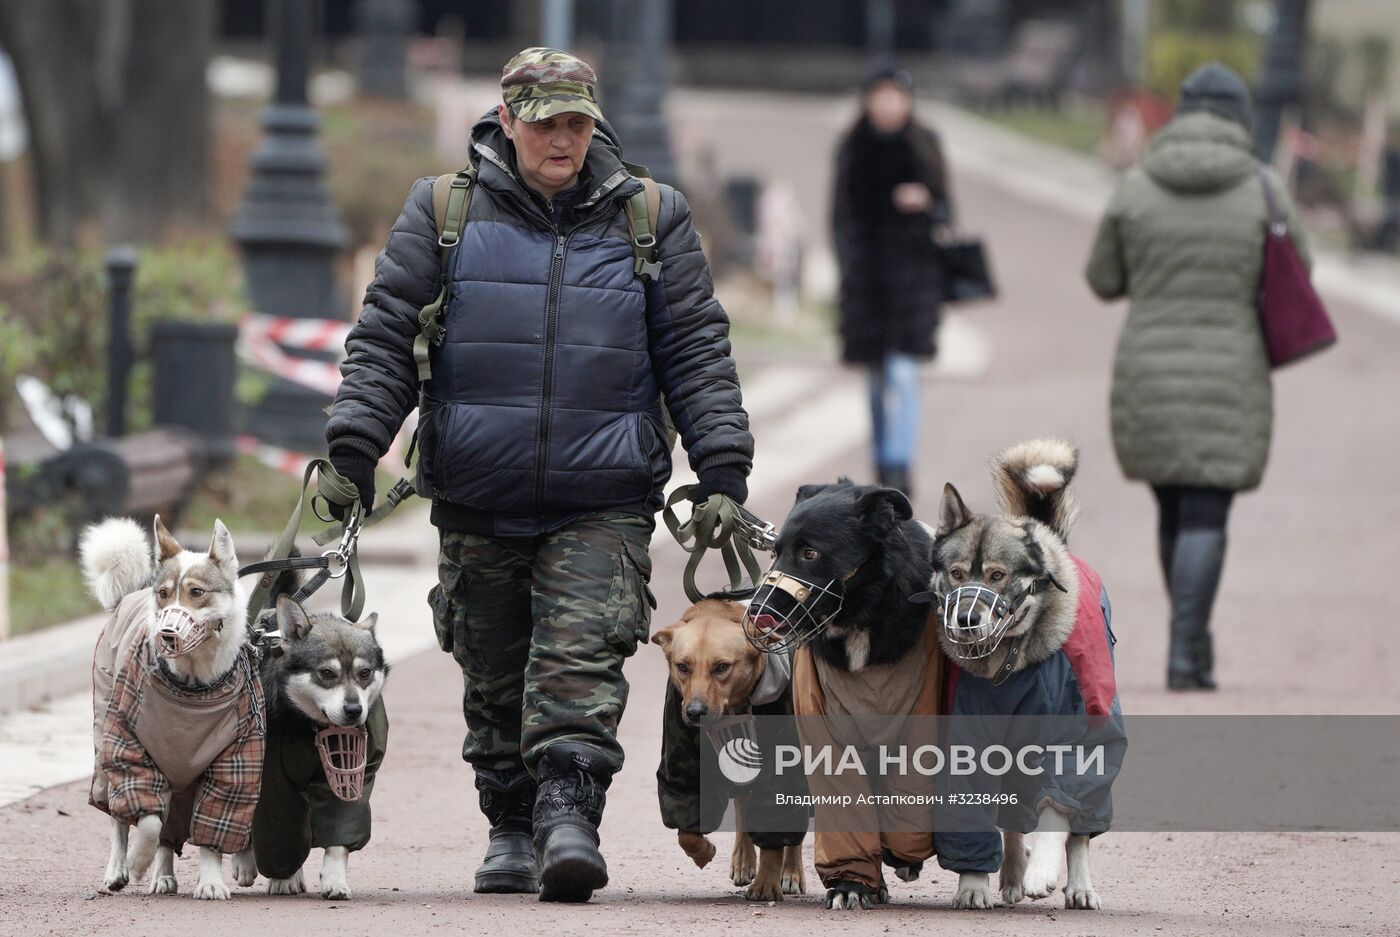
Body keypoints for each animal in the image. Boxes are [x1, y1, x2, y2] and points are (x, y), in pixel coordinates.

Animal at [655, 599, 812, 896]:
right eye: (682, 666)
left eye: (721, 667)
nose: (695, 712)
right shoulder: (684, 765)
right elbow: (687, 829)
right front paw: (703, 851)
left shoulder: (784, 768)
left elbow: (776, 826)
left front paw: (767, 881)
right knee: (742, 805)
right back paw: (743, 858)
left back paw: (791, 872)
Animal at [929, 442, 1125, 907]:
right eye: (957, 574)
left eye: (998, 575)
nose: (966, 620)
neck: (1008, 664)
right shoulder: (967, 731)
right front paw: (974, 883)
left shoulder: (1071, 732)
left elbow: (1057, 808)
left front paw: (1044, 871)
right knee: (1013, 818)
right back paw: (1014, 872)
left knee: (1080, 826)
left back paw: (1077, 884)